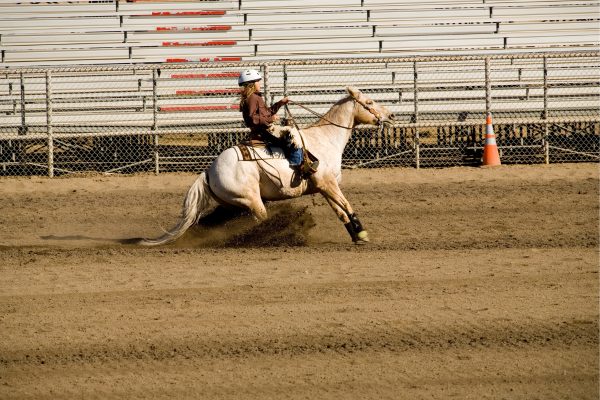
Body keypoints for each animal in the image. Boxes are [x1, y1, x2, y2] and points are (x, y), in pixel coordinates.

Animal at [138, 86, 396, 245]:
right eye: (370, 102)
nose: (391, 116)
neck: (325, 138)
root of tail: (209, 171)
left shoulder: (324, 188)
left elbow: (341, 212)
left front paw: (356, 235)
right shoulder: (328, 184)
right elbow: (348, 206)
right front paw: (362, 233)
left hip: (234, 204)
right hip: (251, 201)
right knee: (260, 220)